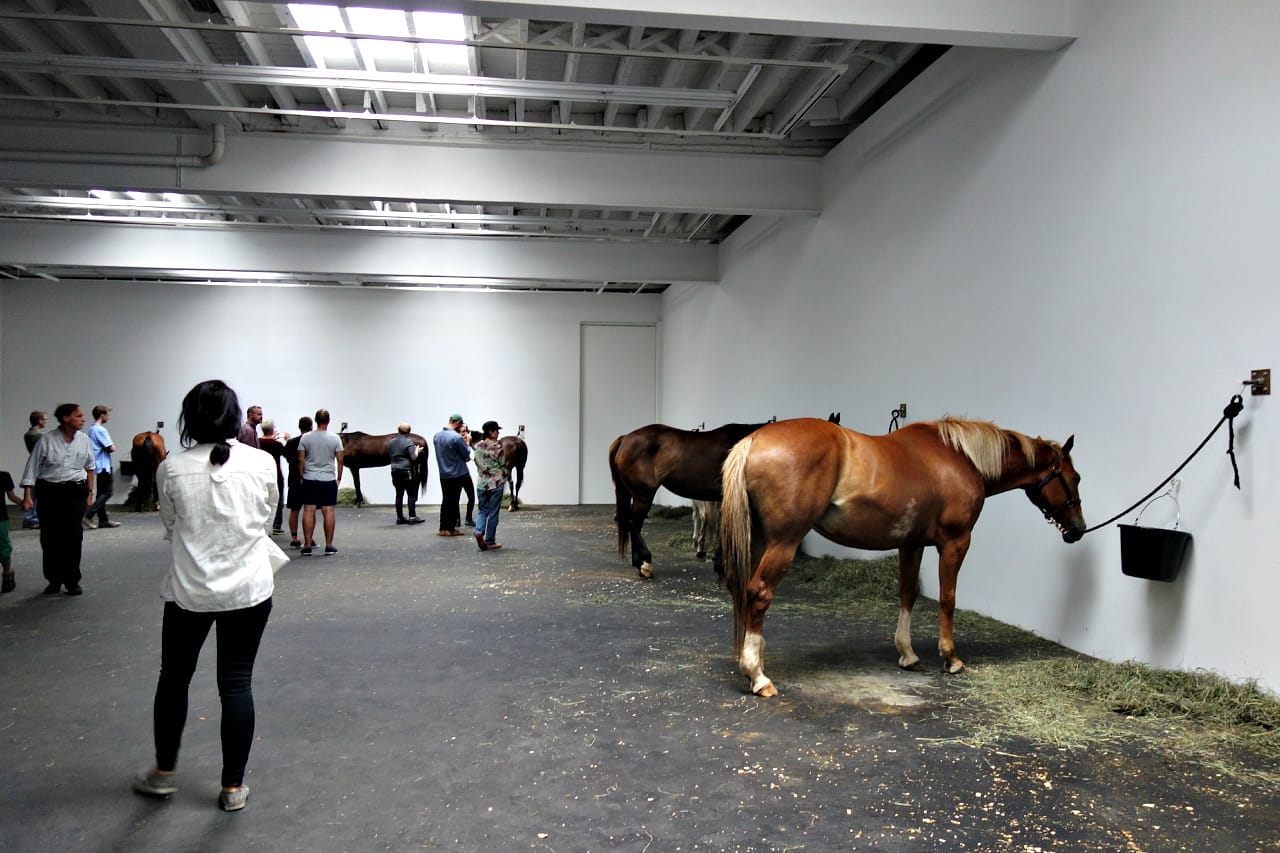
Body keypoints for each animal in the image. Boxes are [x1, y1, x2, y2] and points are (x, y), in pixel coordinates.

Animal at [719, 416, 1085, 697]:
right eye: (1075, 478)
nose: (1078, 529)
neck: (960, 459)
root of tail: (753, 439)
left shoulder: (912, 544)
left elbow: (907, 593)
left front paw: (907, 654)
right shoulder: (955, 542)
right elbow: (947, 598)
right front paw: (951, 658)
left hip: (759, 542)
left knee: (745, 593)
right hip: (784, 542)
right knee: (759, 593)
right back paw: (758, 676)